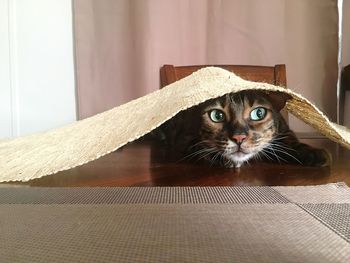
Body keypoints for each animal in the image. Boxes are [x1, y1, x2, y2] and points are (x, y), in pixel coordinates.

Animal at [157, 91, 332, 169]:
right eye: (217, 115)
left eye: (259, 113)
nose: (239, 138)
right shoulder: (184, 139)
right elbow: (200, 147)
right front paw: (222, 158)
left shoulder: (285, 130)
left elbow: (292, 141)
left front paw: (313, 153)